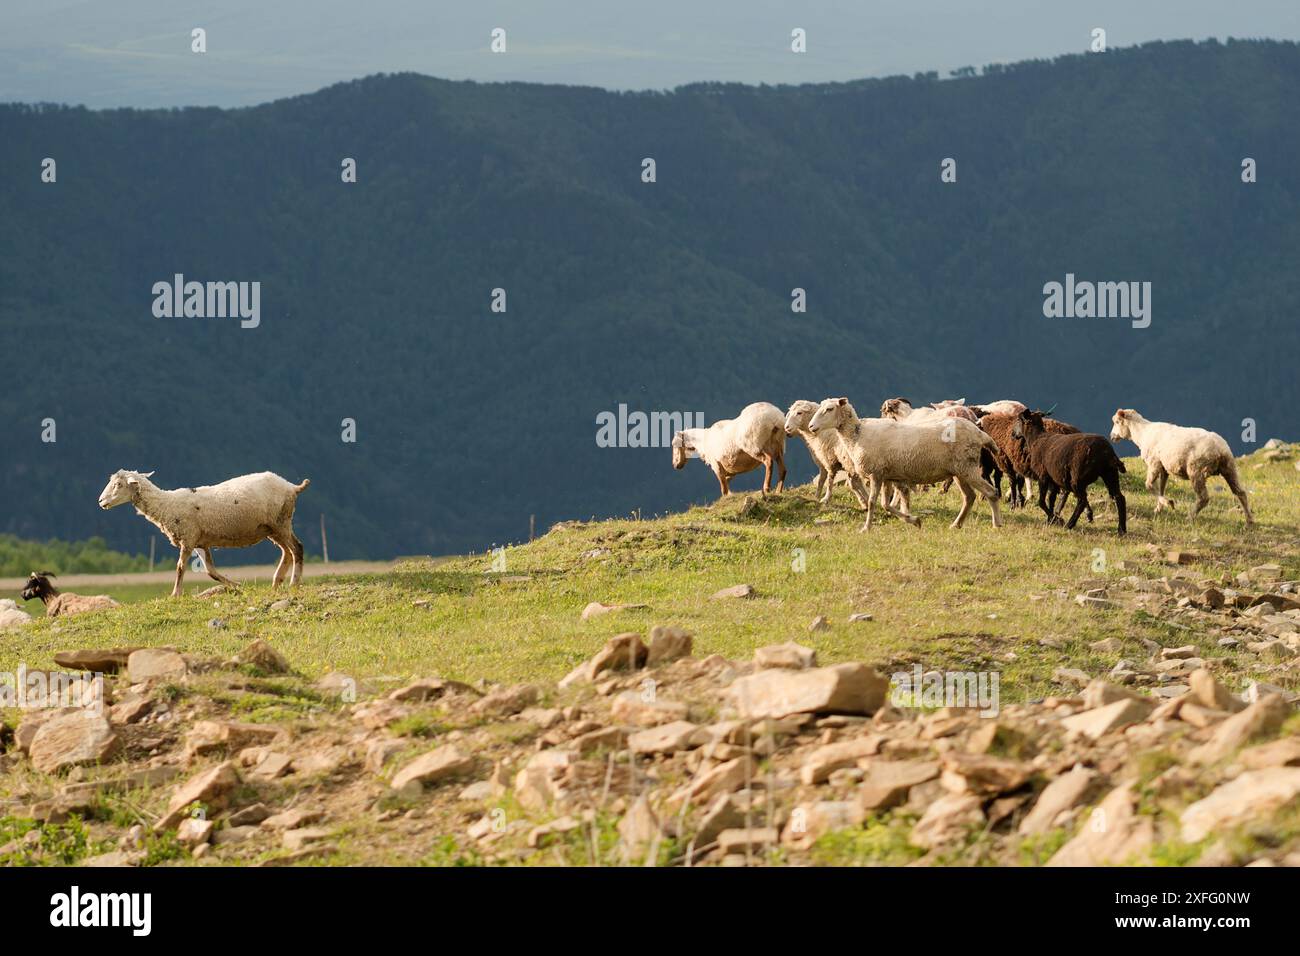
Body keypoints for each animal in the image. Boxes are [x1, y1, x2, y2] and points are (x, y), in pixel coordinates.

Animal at [97, 469, 311, 597]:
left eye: (118, 485)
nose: (100, 502)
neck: (166, 505)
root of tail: (291, 486)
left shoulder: (188, 538)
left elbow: (180, 568)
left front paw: (175, 594)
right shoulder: (201, 542)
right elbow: (210, 571)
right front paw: (236, 585)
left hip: (282, 522)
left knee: (297, 548)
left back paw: (293, 583)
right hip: (272, 528)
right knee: (286, 552)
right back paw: (276, 582)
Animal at [807, 398, 1001, 532]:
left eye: (829, 409)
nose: (811, 426)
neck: (858, 435)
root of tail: (978, 432)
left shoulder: (876, 474)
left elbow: (872, 502)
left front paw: (866, 528)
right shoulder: (887, 476)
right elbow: (886, 505)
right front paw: (914, 521)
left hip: (967, 468)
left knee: (991, 492)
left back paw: (996, 524)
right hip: (959, 471)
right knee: (969, 497)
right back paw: (956, 524)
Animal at [1109, 408, 1252, 523]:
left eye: (1117, 422)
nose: (1111, 436)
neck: (1142, 433)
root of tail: (1221, 449)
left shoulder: (1154, 463)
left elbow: (1149, 485)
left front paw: (1168, 503)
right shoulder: (1164, 468)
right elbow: (1161, 488)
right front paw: (1159, 508)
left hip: (1196, 469)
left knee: (1203, 498)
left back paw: (1190, 517)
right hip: (1229, 468)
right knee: (1241, 493)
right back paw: (1249, 520)